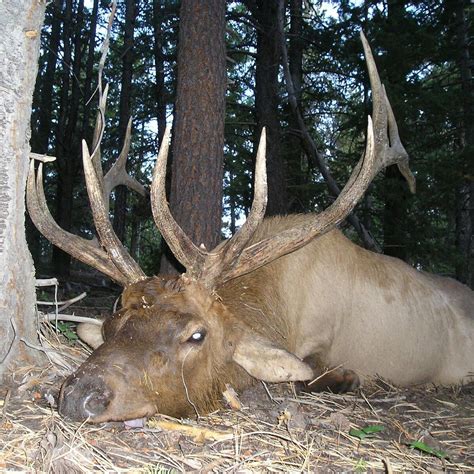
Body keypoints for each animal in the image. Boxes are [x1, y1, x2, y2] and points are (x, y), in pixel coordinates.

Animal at [27, 34, 474, 424]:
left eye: (196, 335)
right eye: (111, 326)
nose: (80, 395)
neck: (278, 308)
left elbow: (311, 375)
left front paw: (346, 378)